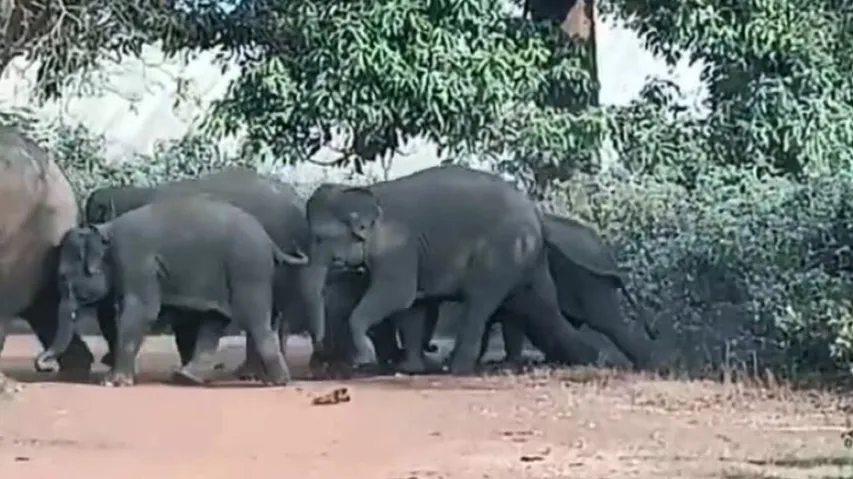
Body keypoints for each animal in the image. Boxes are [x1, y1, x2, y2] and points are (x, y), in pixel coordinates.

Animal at [35, 196, 306, 387]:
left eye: (63, 278)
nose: (43, 364)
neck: (104, 231)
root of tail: (269, 241)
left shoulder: (134, 260)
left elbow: (141, 310)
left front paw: (112, 382)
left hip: (248, 267)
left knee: (254, 317)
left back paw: (277, 381)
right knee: (215, 320)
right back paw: (186, 378)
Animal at [304, 164, 590, 375]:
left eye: (319, 238)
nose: (320, 350)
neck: (367, 194)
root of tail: (537, 215)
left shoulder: (397, 247)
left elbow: (398, 294)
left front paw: (364, 358)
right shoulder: (412, 254)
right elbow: (413, 305)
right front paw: (410, 368)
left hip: (500, 254)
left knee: (479, 303)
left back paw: (456, 368)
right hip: (527, 258)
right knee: (542, 305)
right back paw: (590, 357)